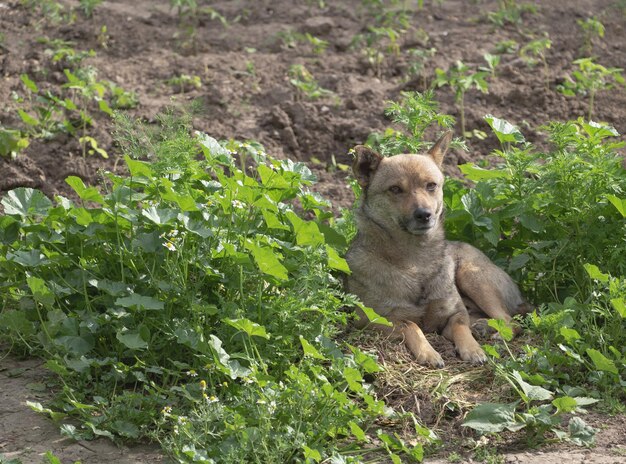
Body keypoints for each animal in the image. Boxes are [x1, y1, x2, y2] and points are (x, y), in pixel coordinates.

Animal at [344, 132, 528, 368]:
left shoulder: (455, 314)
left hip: (472, 276)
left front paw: (473, 349)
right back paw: (484, 326)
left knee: (509, 321)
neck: (416, 260)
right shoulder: (370, 318)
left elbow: (461, 327)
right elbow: (411, 325)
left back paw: (492, 332)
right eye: (395, 189)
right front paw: (429, 352)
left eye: (431, 185)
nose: (424, 214)